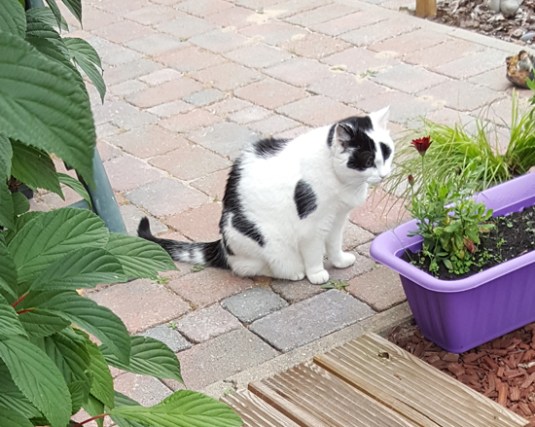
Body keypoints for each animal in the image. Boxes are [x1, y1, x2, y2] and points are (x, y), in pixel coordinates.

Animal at [138, 107, 394, 285]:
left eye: (387, 154)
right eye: (368, 160)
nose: (384, 174)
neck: (343, 183)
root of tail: (222, 245)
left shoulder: (336, 219)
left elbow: (333, 243)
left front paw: (339, 262)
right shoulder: (311, 226)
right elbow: (313, 252)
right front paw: (317, 273)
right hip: (263, 242)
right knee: (249, 267)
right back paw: (294, 272)